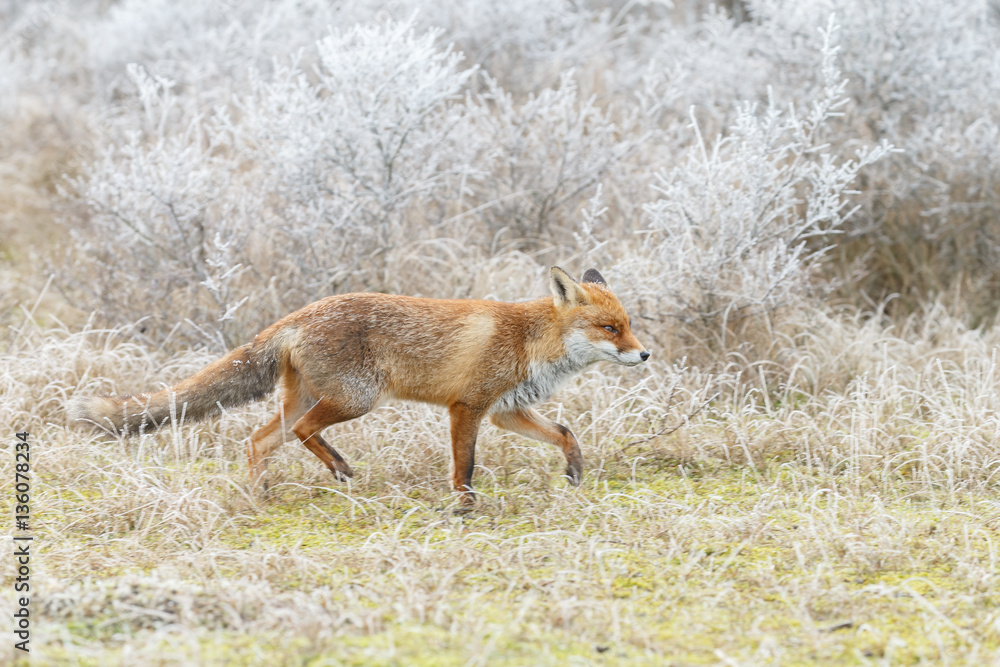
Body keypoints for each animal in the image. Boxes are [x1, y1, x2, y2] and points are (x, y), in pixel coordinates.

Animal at [69, 267, 649, 503]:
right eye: (609, 329)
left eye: (628, 325)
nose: (644, 353)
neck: (531, 341)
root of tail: (296, 315)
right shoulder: (467, 406)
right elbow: (464, 465)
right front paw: (465, 505)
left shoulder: (506, 409)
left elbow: (565, 433)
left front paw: (574, 474)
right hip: (355, 400)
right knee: (302, 432)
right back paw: (338, 469)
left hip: (309, 398)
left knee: (259, 440)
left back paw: (260, 497)